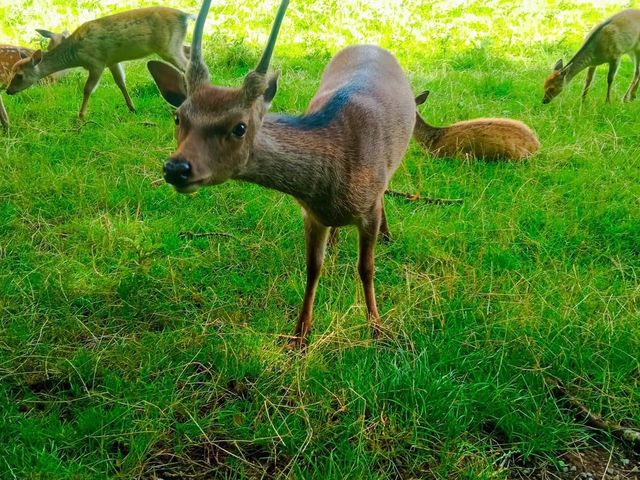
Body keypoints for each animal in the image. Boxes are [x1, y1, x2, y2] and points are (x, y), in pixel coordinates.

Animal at [6, 6, 192, 118]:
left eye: (20, 75)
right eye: (13, 70)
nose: (8, 90)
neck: (76, 54)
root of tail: (186, 16)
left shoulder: (96, 62)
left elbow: (88, 89)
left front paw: (80, 116)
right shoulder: (111, 61)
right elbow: (121, 83)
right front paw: (132, 108)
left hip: (168, 46)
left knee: (186, 67)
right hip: (175, 44)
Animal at [148, 0, 422, 346]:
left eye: (240, 127)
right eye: (178, 117)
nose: (176, 168)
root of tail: (371, 44)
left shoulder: (368, 206)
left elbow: (366, 267)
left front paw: (376, 326)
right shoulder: (311, 213)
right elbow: (312, 268)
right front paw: (299, 336)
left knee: (386, 191)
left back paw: (386, 235)